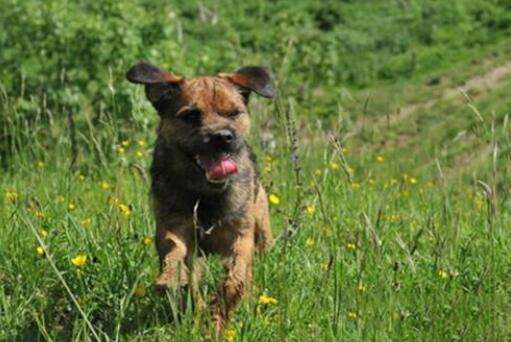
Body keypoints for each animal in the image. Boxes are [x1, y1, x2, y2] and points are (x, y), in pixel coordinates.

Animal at [125, 60, 274, 332]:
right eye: (191, 115)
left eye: (234, 113)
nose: (222, 137)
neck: (206, 193)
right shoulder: (174, 224)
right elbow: (174, 252)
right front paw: (174, 280)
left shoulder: (240, 234)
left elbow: (236, 277)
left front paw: (219, 315)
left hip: (262, 228)